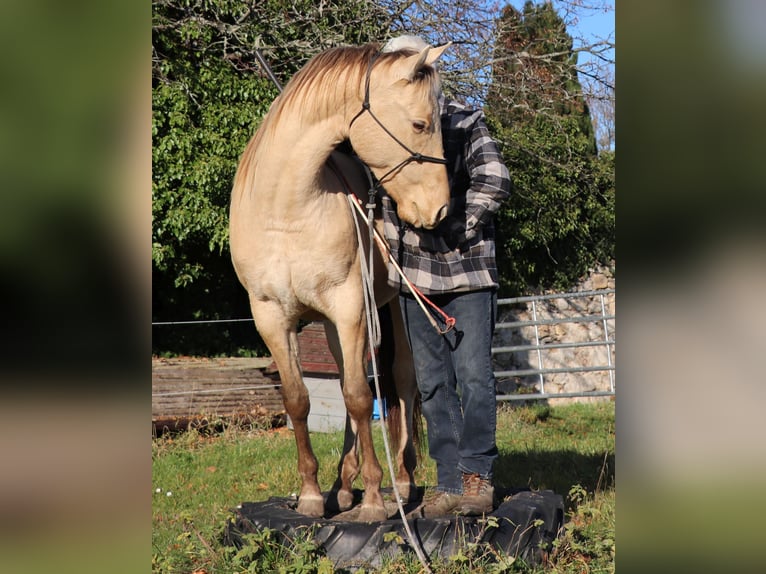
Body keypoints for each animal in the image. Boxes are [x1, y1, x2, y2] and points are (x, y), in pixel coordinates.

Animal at [229, 42, 450, 522]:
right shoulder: (272, 316)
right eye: (420, 124)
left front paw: (375, 499)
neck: (287, 209)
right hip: (333, 325)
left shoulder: (350, 308)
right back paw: (343, 486)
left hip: (390, 311)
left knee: (399, 382)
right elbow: (299, 400)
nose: (440, 209)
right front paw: (312, 493)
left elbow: (359, 397)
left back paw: (400, 481)